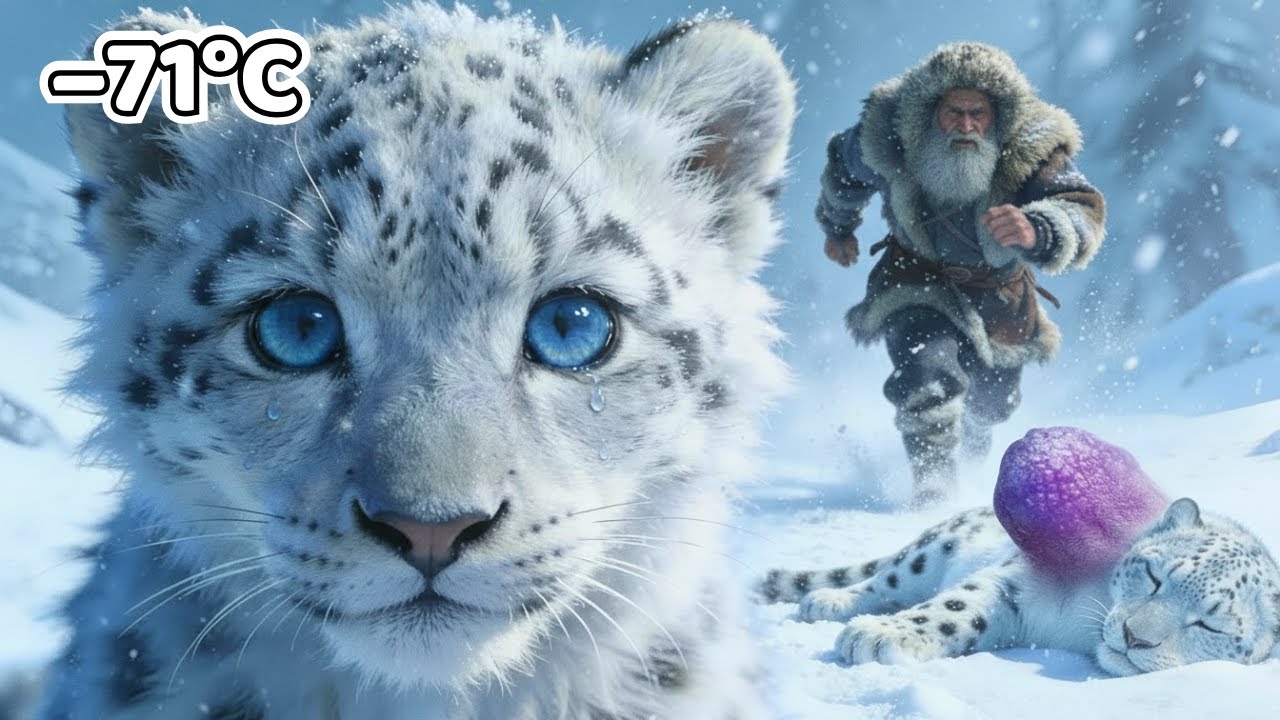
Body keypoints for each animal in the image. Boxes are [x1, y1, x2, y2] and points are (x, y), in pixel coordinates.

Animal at [758, 498, 1280, 676]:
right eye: (1155, 576)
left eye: (1209, 625)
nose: (1135, 637)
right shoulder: (1015, 580)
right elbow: (955, 608)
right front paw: (878, 635)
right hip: (928, 552)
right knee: (885, 579)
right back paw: (829, 602)